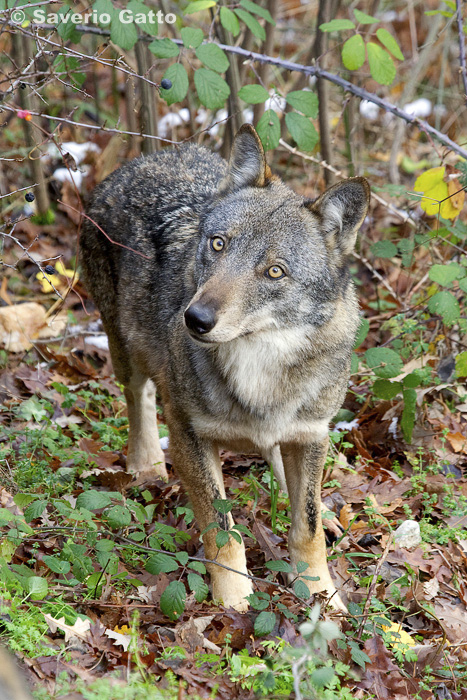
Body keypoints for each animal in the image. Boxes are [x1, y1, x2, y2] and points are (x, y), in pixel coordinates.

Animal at [81, 126, 372, 612]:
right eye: (219, 244)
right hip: (124, 346)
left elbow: (307, 525)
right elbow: (222, 531)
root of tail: (148, 158)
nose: (195, 319)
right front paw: (234, 601)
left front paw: (321, 594)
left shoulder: (311, 433)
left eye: (274, 272)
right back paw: (147, 466)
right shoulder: (189, 435)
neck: (260, 368)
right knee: (140, 396)